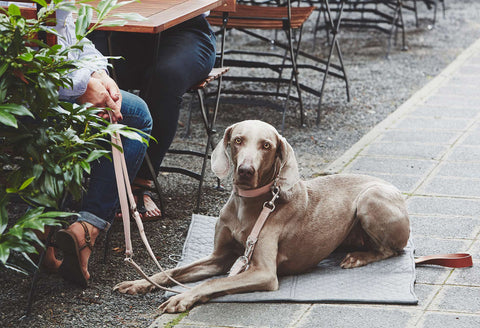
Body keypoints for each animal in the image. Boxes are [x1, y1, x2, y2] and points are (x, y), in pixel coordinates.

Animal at [113, 120, 408, 312]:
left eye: (266, 145)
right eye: (237, 140)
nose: (245, 170)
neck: (247, 205)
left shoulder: (264, 272)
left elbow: (217, 282)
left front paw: (184, 298)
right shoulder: (218, 257)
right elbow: (173, 271)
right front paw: (139, 283)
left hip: (370, 199)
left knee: (391, 250)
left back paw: (358, 258)